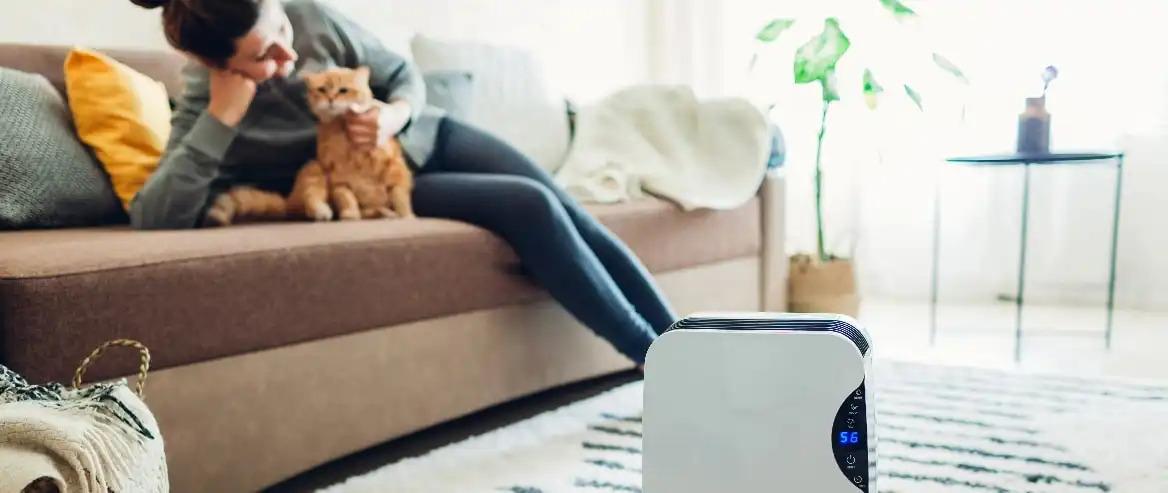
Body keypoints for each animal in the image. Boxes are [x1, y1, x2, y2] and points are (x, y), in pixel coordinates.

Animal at [287, 64, 415, 221]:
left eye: (343, 90)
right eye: (322, 89)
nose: (330, 99)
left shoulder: (396, 170)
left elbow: (400, 197)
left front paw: (407, 216)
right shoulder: (338, 177)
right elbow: (346, 197)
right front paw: (350, 213)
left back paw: (384, 213)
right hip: (314, 169)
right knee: (309, 201)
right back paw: (323, 211)